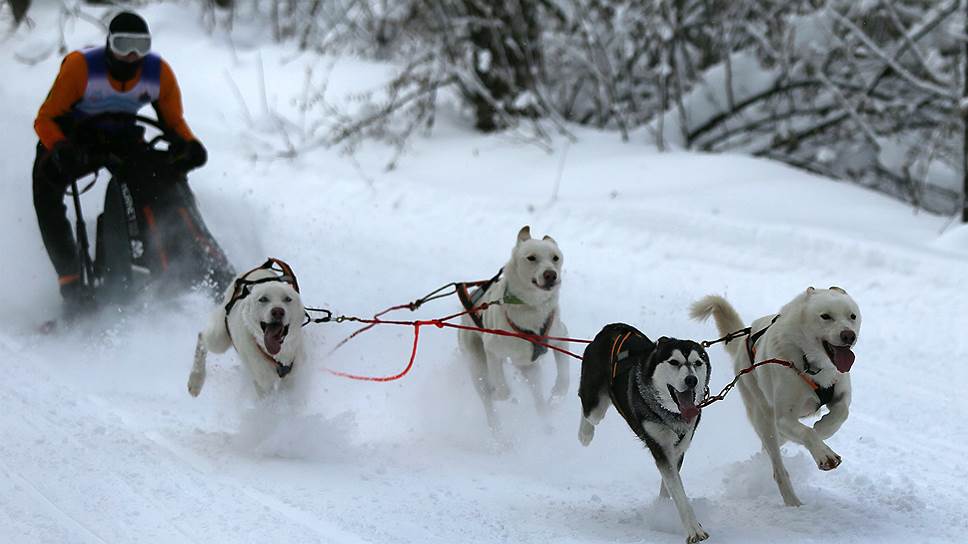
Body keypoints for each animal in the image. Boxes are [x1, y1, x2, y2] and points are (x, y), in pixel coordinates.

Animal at [189, 262, 306, 398]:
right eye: (263, 299)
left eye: (287, 299)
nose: (278, 311)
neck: (276, 357)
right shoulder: (262, 383)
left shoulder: (290, 379)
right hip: (219, 339)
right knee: (202, 337)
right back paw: (196, 380)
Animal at [460, 225, 572, 434]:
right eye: (531, 257)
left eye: (555, 257)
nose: (551, 274)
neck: (531, 308)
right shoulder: (492, 351)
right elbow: (502, 390)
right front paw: (499, 392)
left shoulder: (561, 338)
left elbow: (564, 378)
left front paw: (556, 397)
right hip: (476, 363)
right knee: (488, 402)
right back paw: (500, 434)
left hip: (531, 369)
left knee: (538, 398)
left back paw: (547, 423)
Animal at [692, 288, 860, 506]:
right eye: (826, 316)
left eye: (852, 316)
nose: (849, 335)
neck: (809, 362)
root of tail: (743, 341)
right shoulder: (783, 418)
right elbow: (807, 433)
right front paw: (823, 453)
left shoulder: (840, 394)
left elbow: (841, 413)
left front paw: (823, 428)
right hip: (764, 420)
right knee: (778, 467)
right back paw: (793, 502)